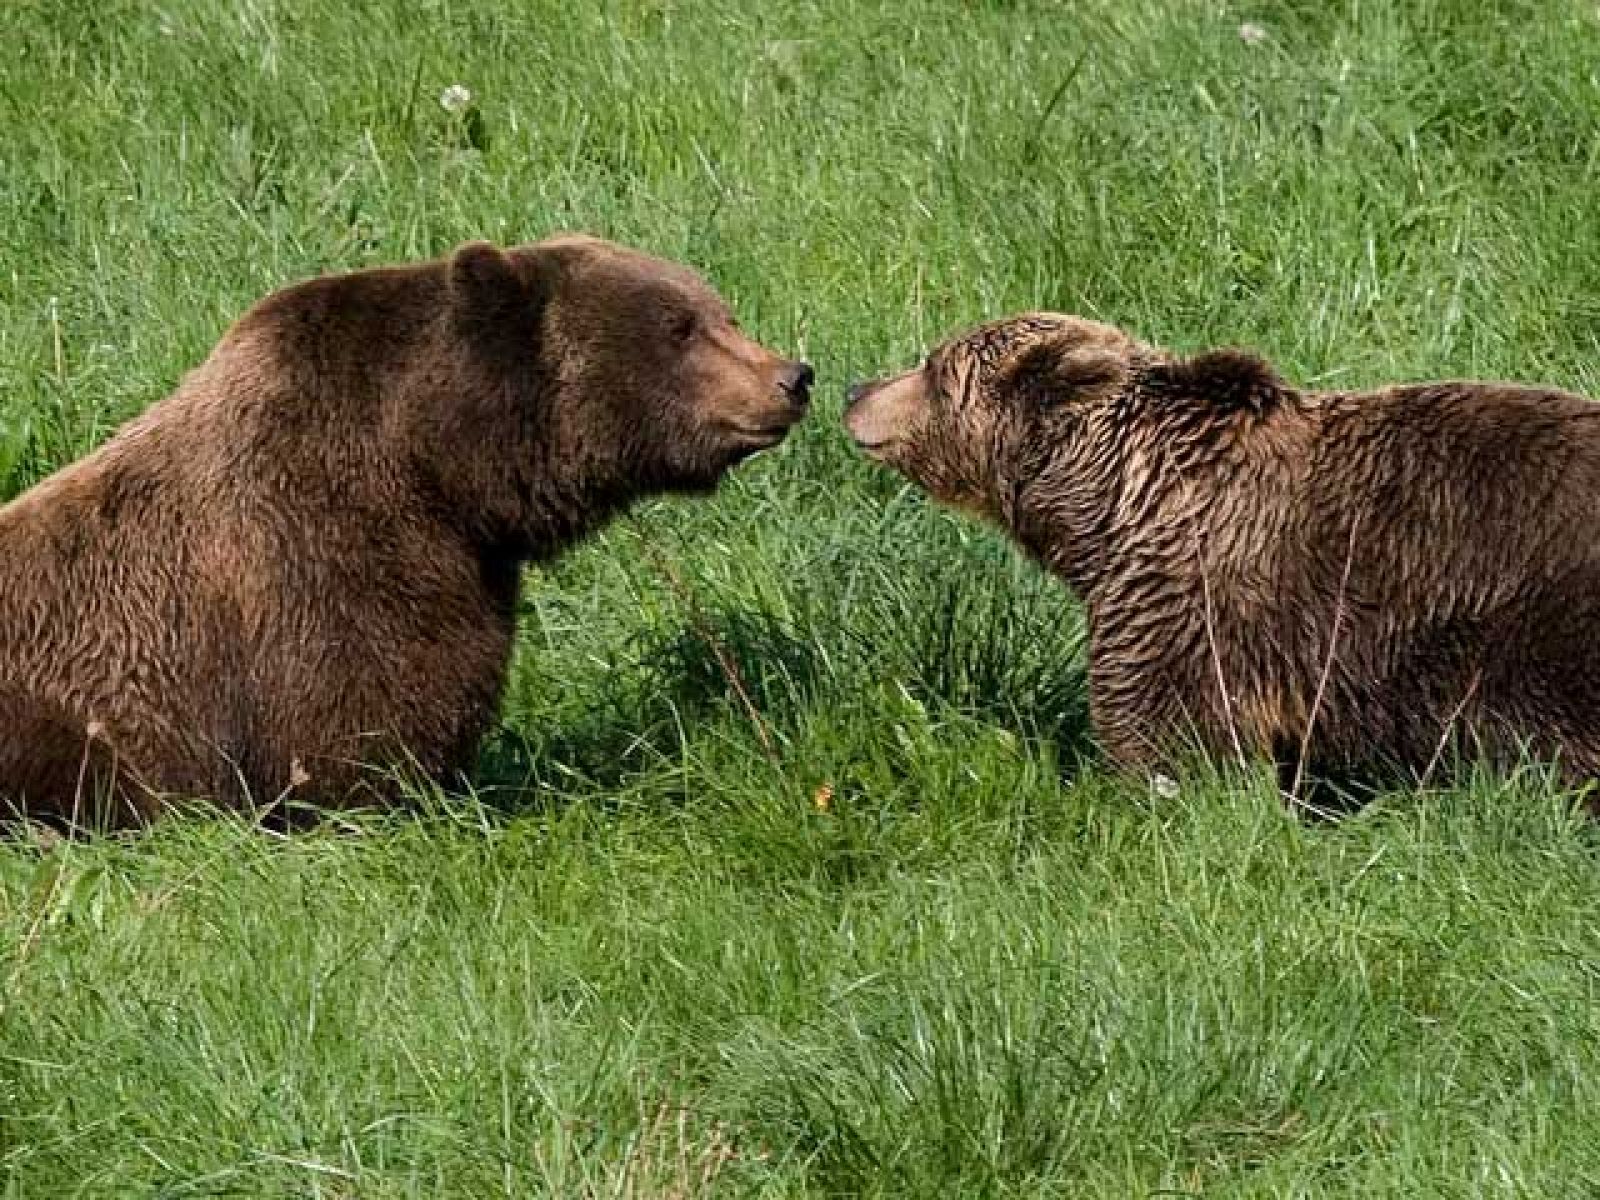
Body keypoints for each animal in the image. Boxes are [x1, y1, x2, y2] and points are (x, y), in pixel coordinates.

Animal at [3, 238, 812, 832]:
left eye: (720, 311)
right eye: (681, 327)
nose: (792, 375)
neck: (434, 468)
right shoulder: (321, 560)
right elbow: (362, 723)